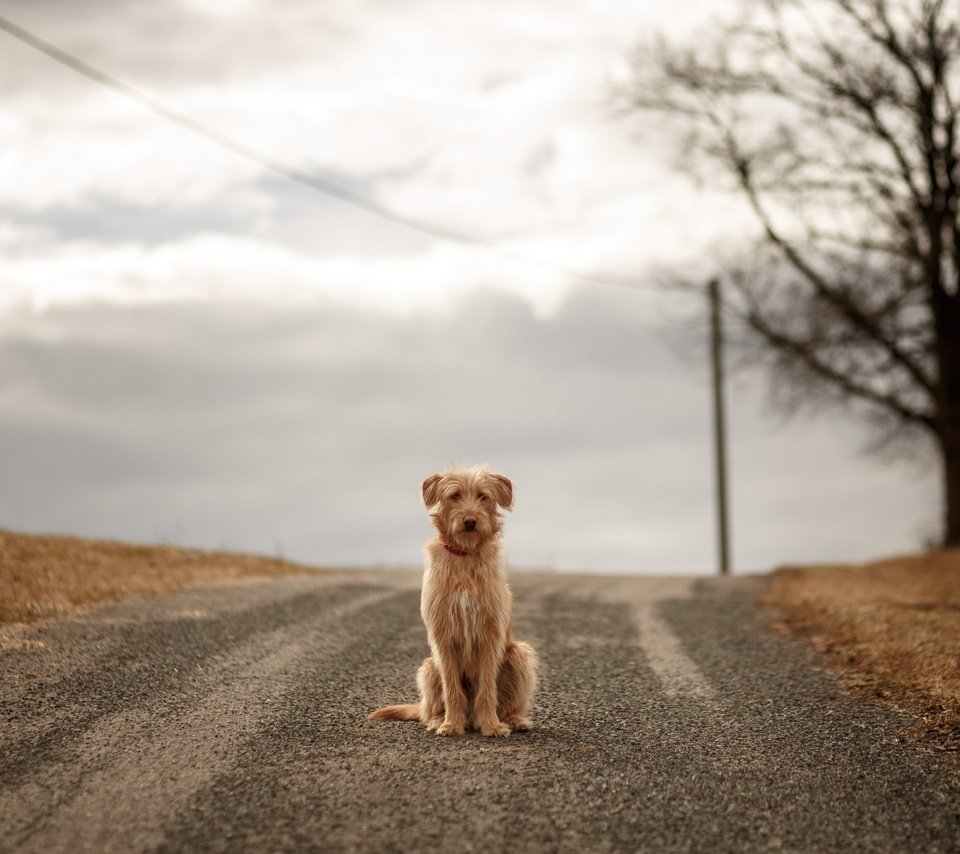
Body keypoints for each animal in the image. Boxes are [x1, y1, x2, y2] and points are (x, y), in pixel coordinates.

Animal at [368, 464, 536, 740]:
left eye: (483, 496)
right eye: (455, 495)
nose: (470, 521)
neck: (465, 555)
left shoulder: (491, 633)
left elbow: (487, 687)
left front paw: (491, 725)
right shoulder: (442, 633)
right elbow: (451, 687)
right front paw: (451, 724)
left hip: (519, 655)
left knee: (509, 704)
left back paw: (514, 720)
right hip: (428, 667)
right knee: (429, 709)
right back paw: (439, 719)